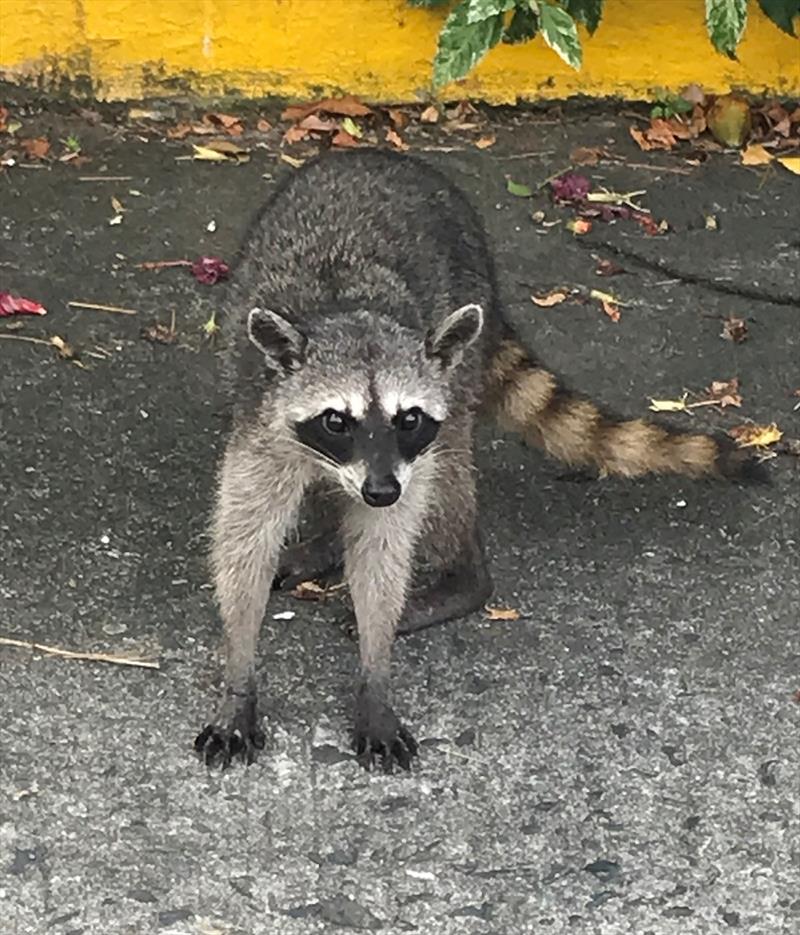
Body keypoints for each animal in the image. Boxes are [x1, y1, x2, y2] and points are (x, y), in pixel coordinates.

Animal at [194, 148, 756, 776]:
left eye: (408, 418)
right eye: (336, 420)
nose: (381, 491)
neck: (351, 309)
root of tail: (381, 156)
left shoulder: (409, 453)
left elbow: (385, 549)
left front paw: (374, 676)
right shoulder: (262, 428)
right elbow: (243, 546)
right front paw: (241, 675)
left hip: (460, 358)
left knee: (447, 483)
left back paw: (464, 578)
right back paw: (328, 539)